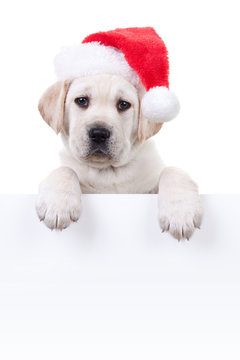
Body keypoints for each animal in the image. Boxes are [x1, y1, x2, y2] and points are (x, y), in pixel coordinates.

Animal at [36, 73, 202, 240]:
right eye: (81, 101)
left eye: (123, 104)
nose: (99, 133)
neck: (109, 171)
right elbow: (65, 170)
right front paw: (58, 204)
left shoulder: (148, 189)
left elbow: (172, 170)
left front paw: (180, 213)